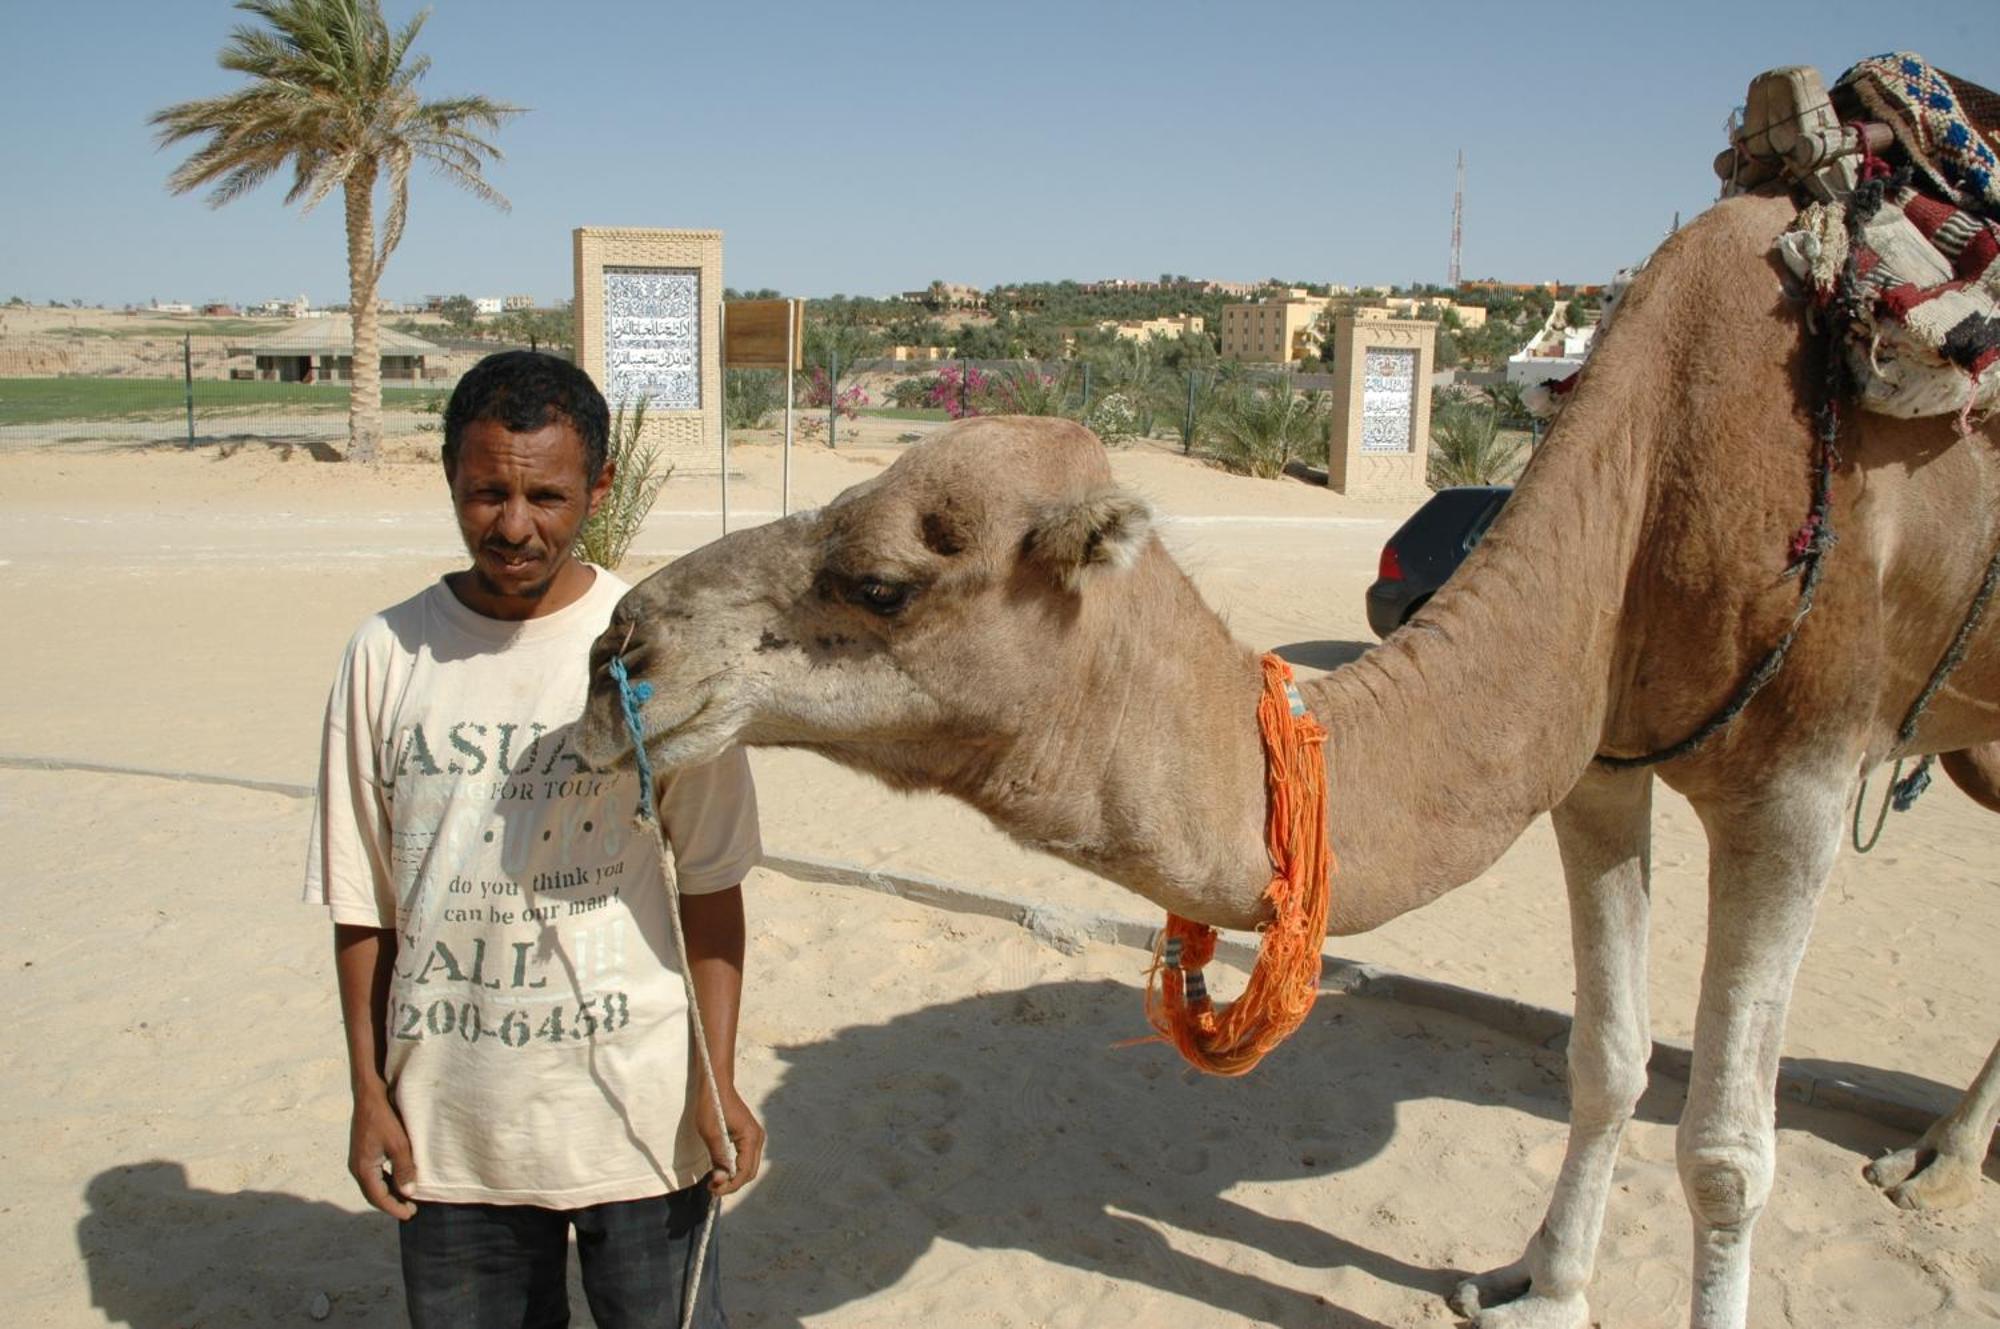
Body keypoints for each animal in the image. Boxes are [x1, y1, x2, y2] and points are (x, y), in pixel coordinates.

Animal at [572, 189, 1992, 1329]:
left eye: (878, 582)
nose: (621, 649)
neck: (1657, 477)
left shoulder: (1795, 778)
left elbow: (1724, 1151)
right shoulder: (1595, 758)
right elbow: (1605, 1062)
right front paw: (1541, 1292)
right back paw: (1933, 1162)